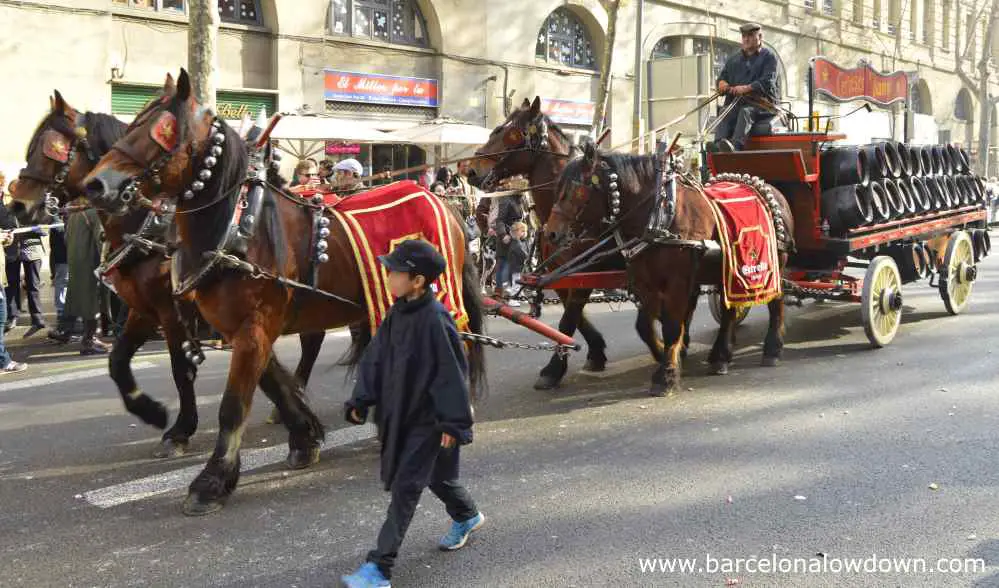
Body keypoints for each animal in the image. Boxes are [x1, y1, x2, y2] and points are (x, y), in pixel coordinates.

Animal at [15, 92, 326, 460]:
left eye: (51, 148)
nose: (17, 205)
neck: (147, 225)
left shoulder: (170, 310)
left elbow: (181, 369)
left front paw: (180, 429)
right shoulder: (142, 309)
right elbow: (118, 361)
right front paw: (150, 410)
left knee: (313, 338)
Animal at [79, 70, 484, 516]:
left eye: (160, 131)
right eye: (130, 125)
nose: (96, 185)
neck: (241, 228)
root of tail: (445, 205)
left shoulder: (244, 326)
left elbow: (232, 405)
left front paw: (210, 481)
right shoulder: (236, 327)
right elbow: (273, 382)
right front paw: (303, 437)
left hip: (439, 297)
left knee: (457, 345)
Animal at [476, 98, 664, 388]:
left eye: (510, 133)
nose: (471, 170)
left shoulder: (588, 270)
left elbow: (568, 321)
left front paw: (553, 368)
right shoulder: (563, 274)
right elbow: (574, 318)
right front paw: (595, 353)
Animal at [544, 145, 792, 398]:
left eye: (575, 190)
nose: (550, 233)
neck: (659, 218)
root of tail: (771, 189)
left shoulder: (677, 281)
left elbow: (672, 325)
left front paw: (667, 375)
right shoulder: (644, 281)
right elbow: (645, 326)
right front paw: (665, 356)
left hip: (774, 264)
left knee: (776, 302)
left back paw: (772, 348)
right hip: (728, 272)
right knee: (729, 309)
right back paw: (720, 356)